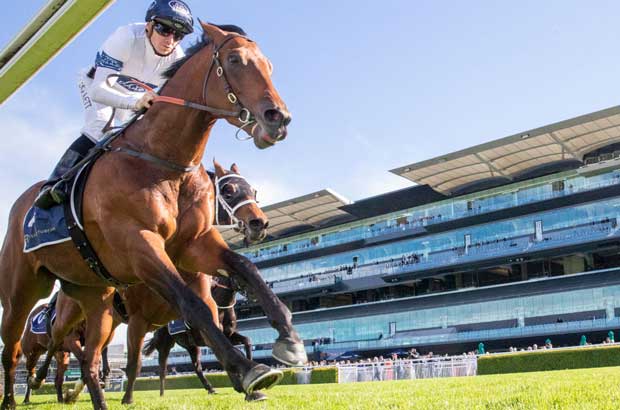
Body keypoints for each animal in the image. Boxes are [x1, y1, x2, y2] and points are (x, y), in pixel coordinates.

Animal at [0, 23, 306, 410]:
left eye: (269, 65)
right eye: (235, 60)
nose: (278, 119)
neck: (162, 159)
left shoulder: (193, 244)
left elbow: (247, 268)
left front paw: (290, 340)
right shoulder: (139, 244)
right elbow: (193, 305)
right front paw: (248, 370)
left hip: (94, 297)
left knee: (85, 358)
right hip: (21, 291)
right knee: (17, 349)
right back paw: (20, 393)